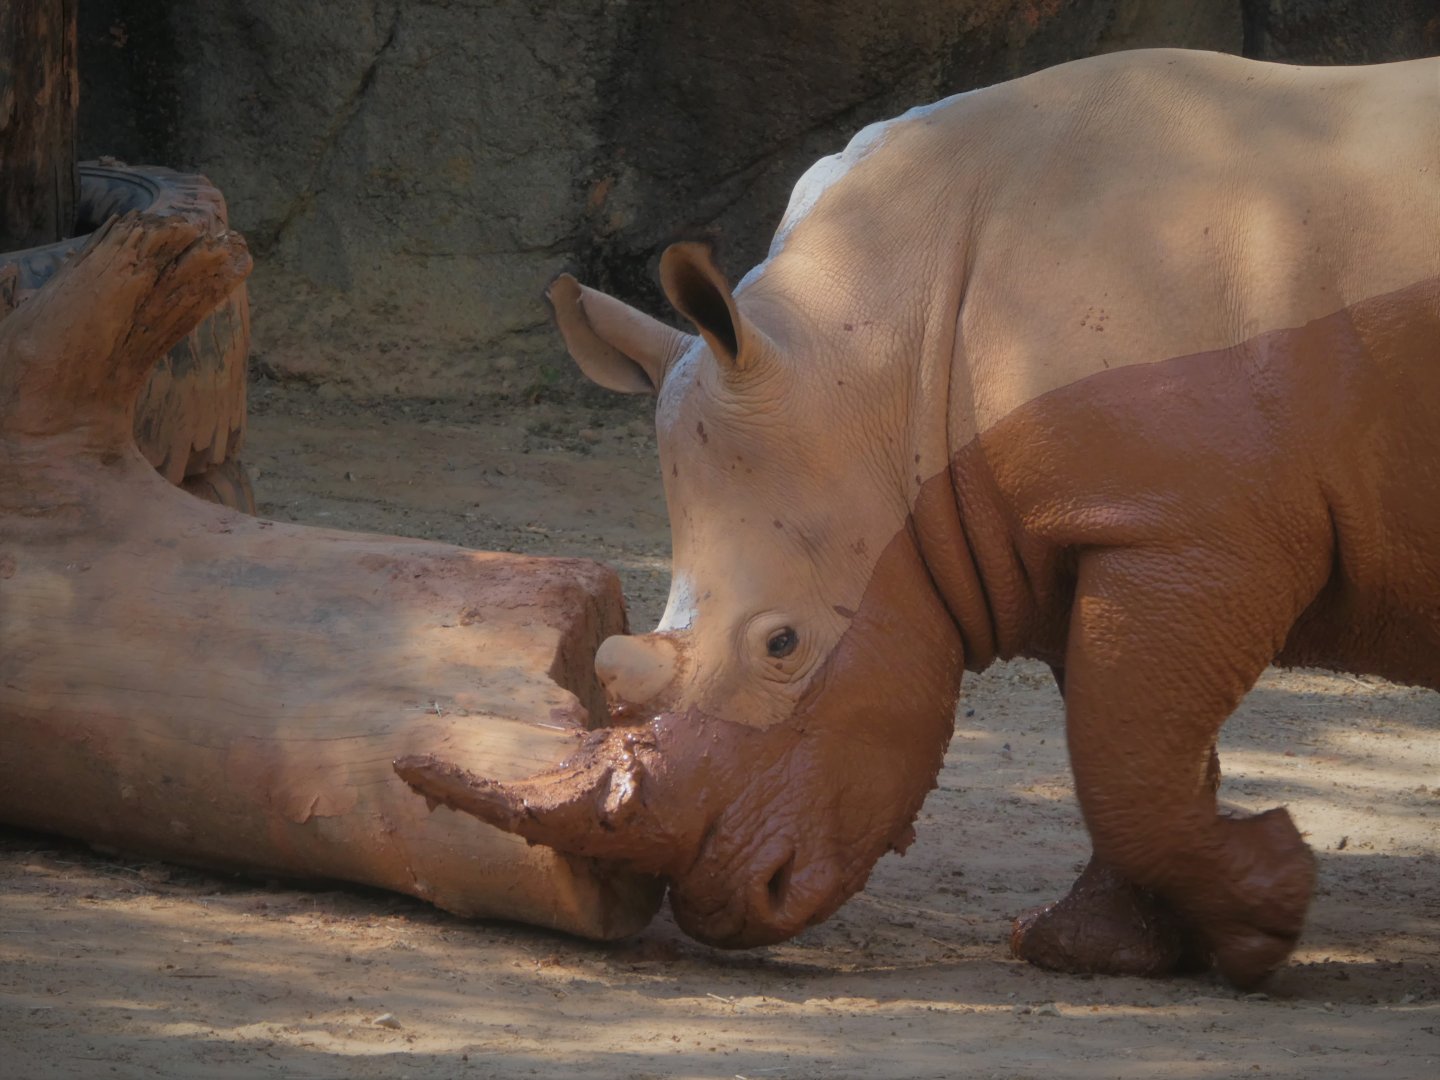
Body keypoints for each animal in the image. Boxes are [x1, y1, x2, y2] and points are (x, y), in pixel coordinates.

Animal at [398, 48, 1440, 988]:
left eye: (782, 645)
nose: (726, 905)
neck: (891, 357)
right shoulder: (1096, 522)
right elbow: (1120, 740)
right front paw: (1097, 951)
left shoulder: (1184, 526)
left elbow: (1125, 748)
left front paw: (1270, 913)